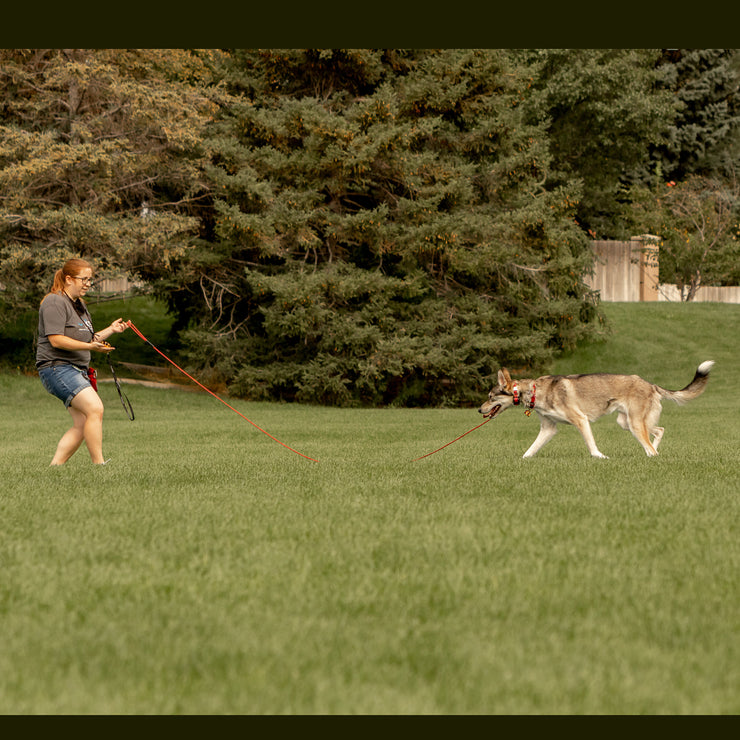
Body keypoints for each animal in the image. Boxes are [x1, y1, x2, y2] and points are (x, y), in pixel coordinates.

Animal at [476, 360, 712, 456]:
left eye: (490, 397)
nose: (479, 410)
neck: (535, 390)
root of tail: (650, 384)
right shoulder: (548, 429)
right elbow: (530, 450)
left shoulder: (581, 420)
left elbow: (591, 445)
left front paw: (599, 457)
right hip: (627, 423)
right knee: (659, 431)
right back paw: (652, 453)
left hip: (635, 424)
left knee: (651, 443)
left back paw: (652, 454)